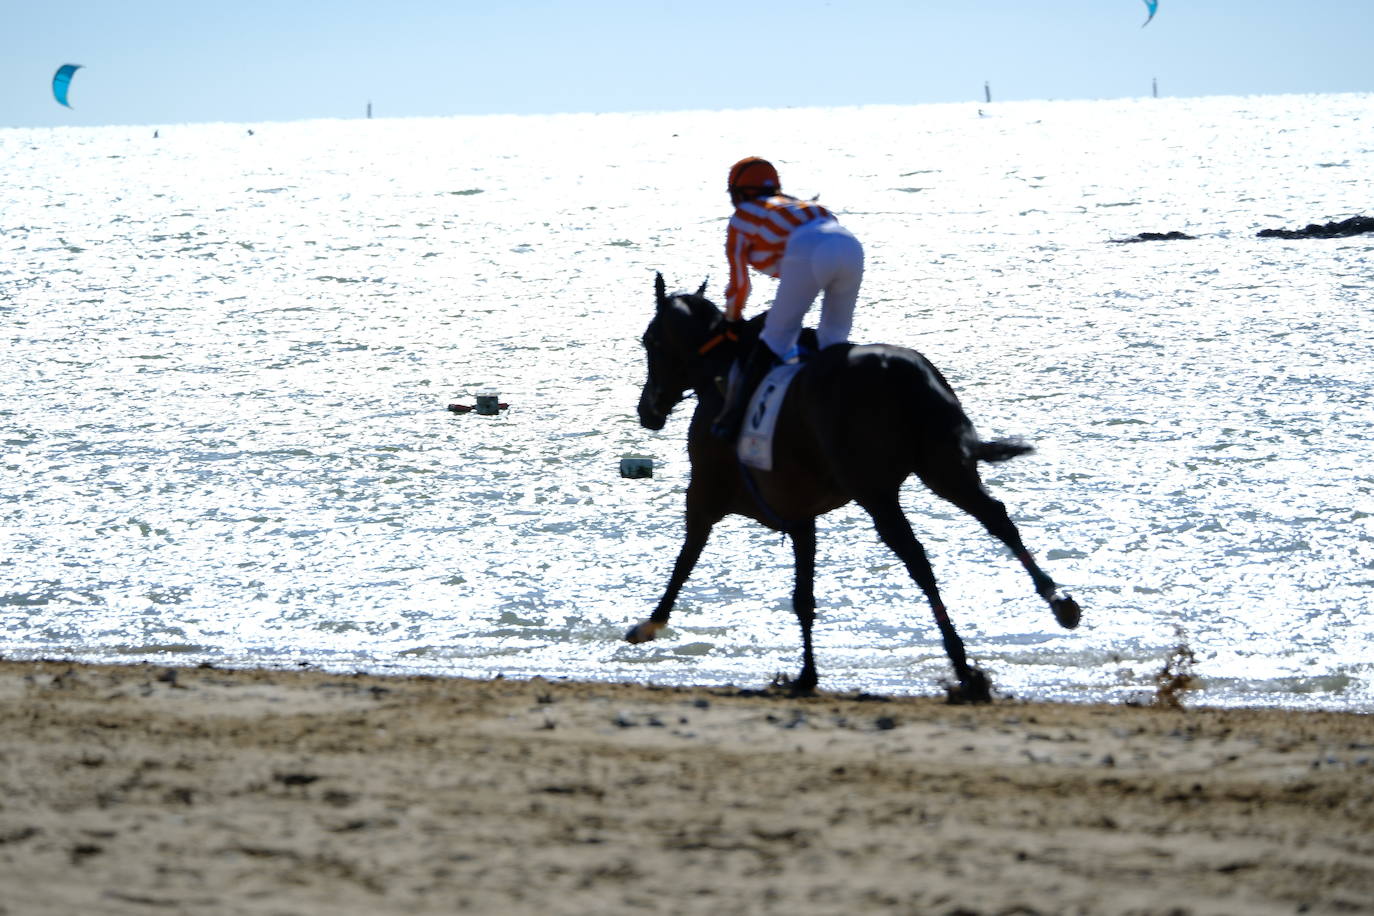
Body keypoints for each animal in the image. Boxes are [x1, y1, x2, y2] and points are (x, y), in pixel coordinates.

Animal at [626, 274, 1081, 702]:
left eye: (649, 340)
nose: (648, 409)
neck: (722, 375)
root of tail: (904, 373)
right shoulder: (800, 515)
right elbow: (803, 597)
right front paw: (807, 674)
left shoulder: (704, 495)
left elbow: (685, 561)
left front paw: (651, 623)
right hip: (943, 468)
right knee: (996, 519)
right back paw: (1059, 602)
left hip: (876, 492)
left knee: (918, 559)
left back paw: (963, 665)